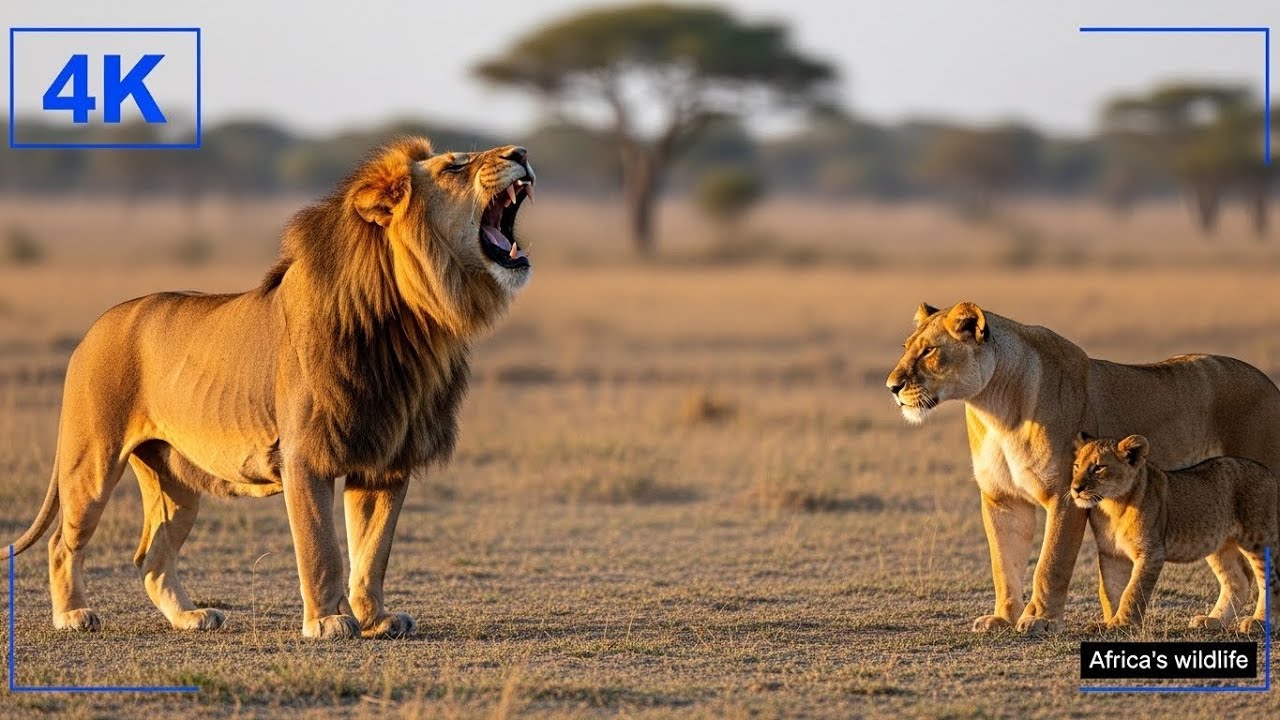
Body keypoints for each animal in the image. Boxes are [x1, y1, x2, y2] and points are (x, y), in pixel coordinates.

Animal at [8, 137, 536, 639]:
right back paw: (73, 614)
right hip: (92, 461)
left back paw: (190, 617)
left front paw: (375, 619)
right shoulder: (305, 456)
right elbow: (322, 550)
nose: (522, 152)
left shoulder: (385, 460)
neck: (412, 321)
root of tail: (94, 327)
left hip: (174, 480)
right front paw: (327, 622)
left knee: (151, 557)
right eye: (454, 166)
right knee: (62, 543)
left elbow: (372, 554)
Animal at [1070, 433, 1278, 631]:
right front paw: (1108, 622)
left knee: (1271, 579)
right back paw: (1213, 620)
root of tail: (1270, 473)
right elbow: (1109, 590)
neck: (1112, 506)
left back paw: (1260, 622)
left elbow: (1133, 590)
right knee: (1239, 580)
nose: (1075, 488)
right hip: (1219, 544)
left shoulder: (1151, 552)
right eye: (1077, 466)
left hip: (1258, 539)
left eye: (1098, 467)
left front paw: (1122, 624)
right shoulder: (1111, 554)